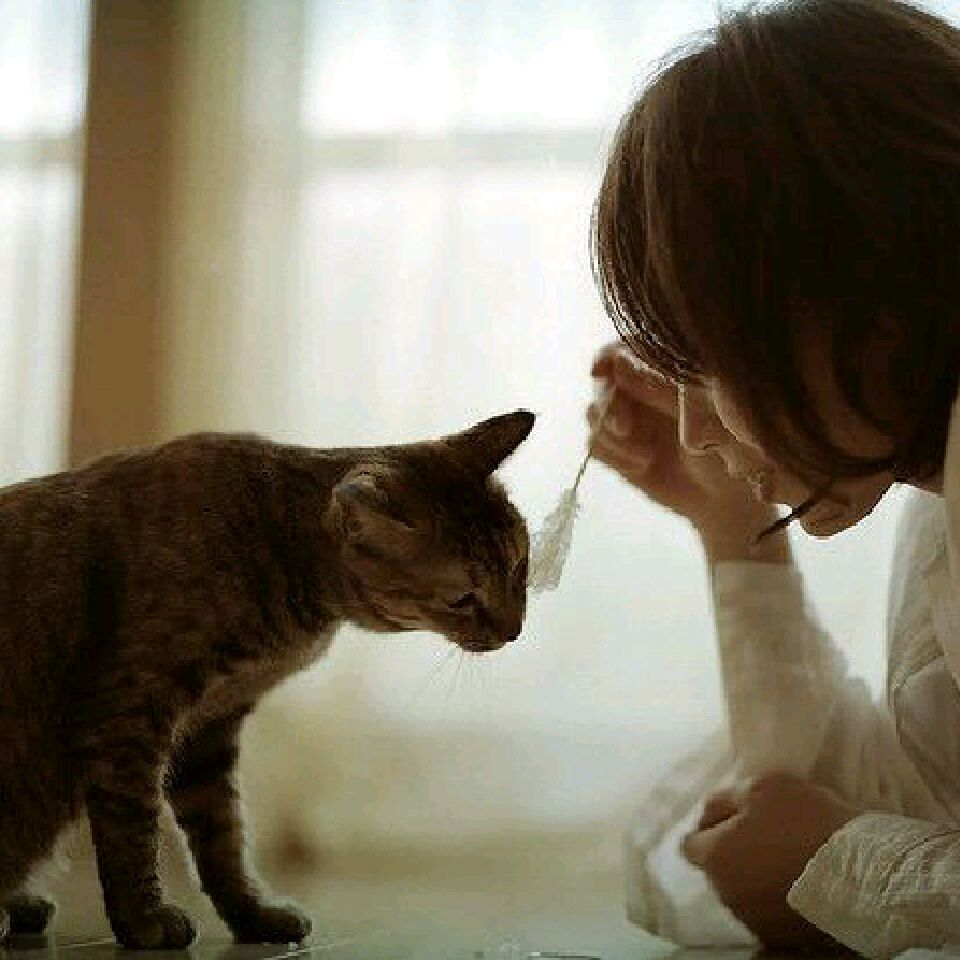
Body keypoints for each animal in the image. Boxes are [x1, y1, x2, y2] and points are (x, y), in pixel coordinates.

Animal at [0, 410, 534, 949]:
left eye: (517, 566)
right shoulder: (129, 713)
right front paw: (143, 918)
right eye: (462, 598)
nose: (514, 630)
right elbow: (132, 831)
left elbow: (224, 838)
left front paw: (252, 914)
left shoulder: (210, 726)